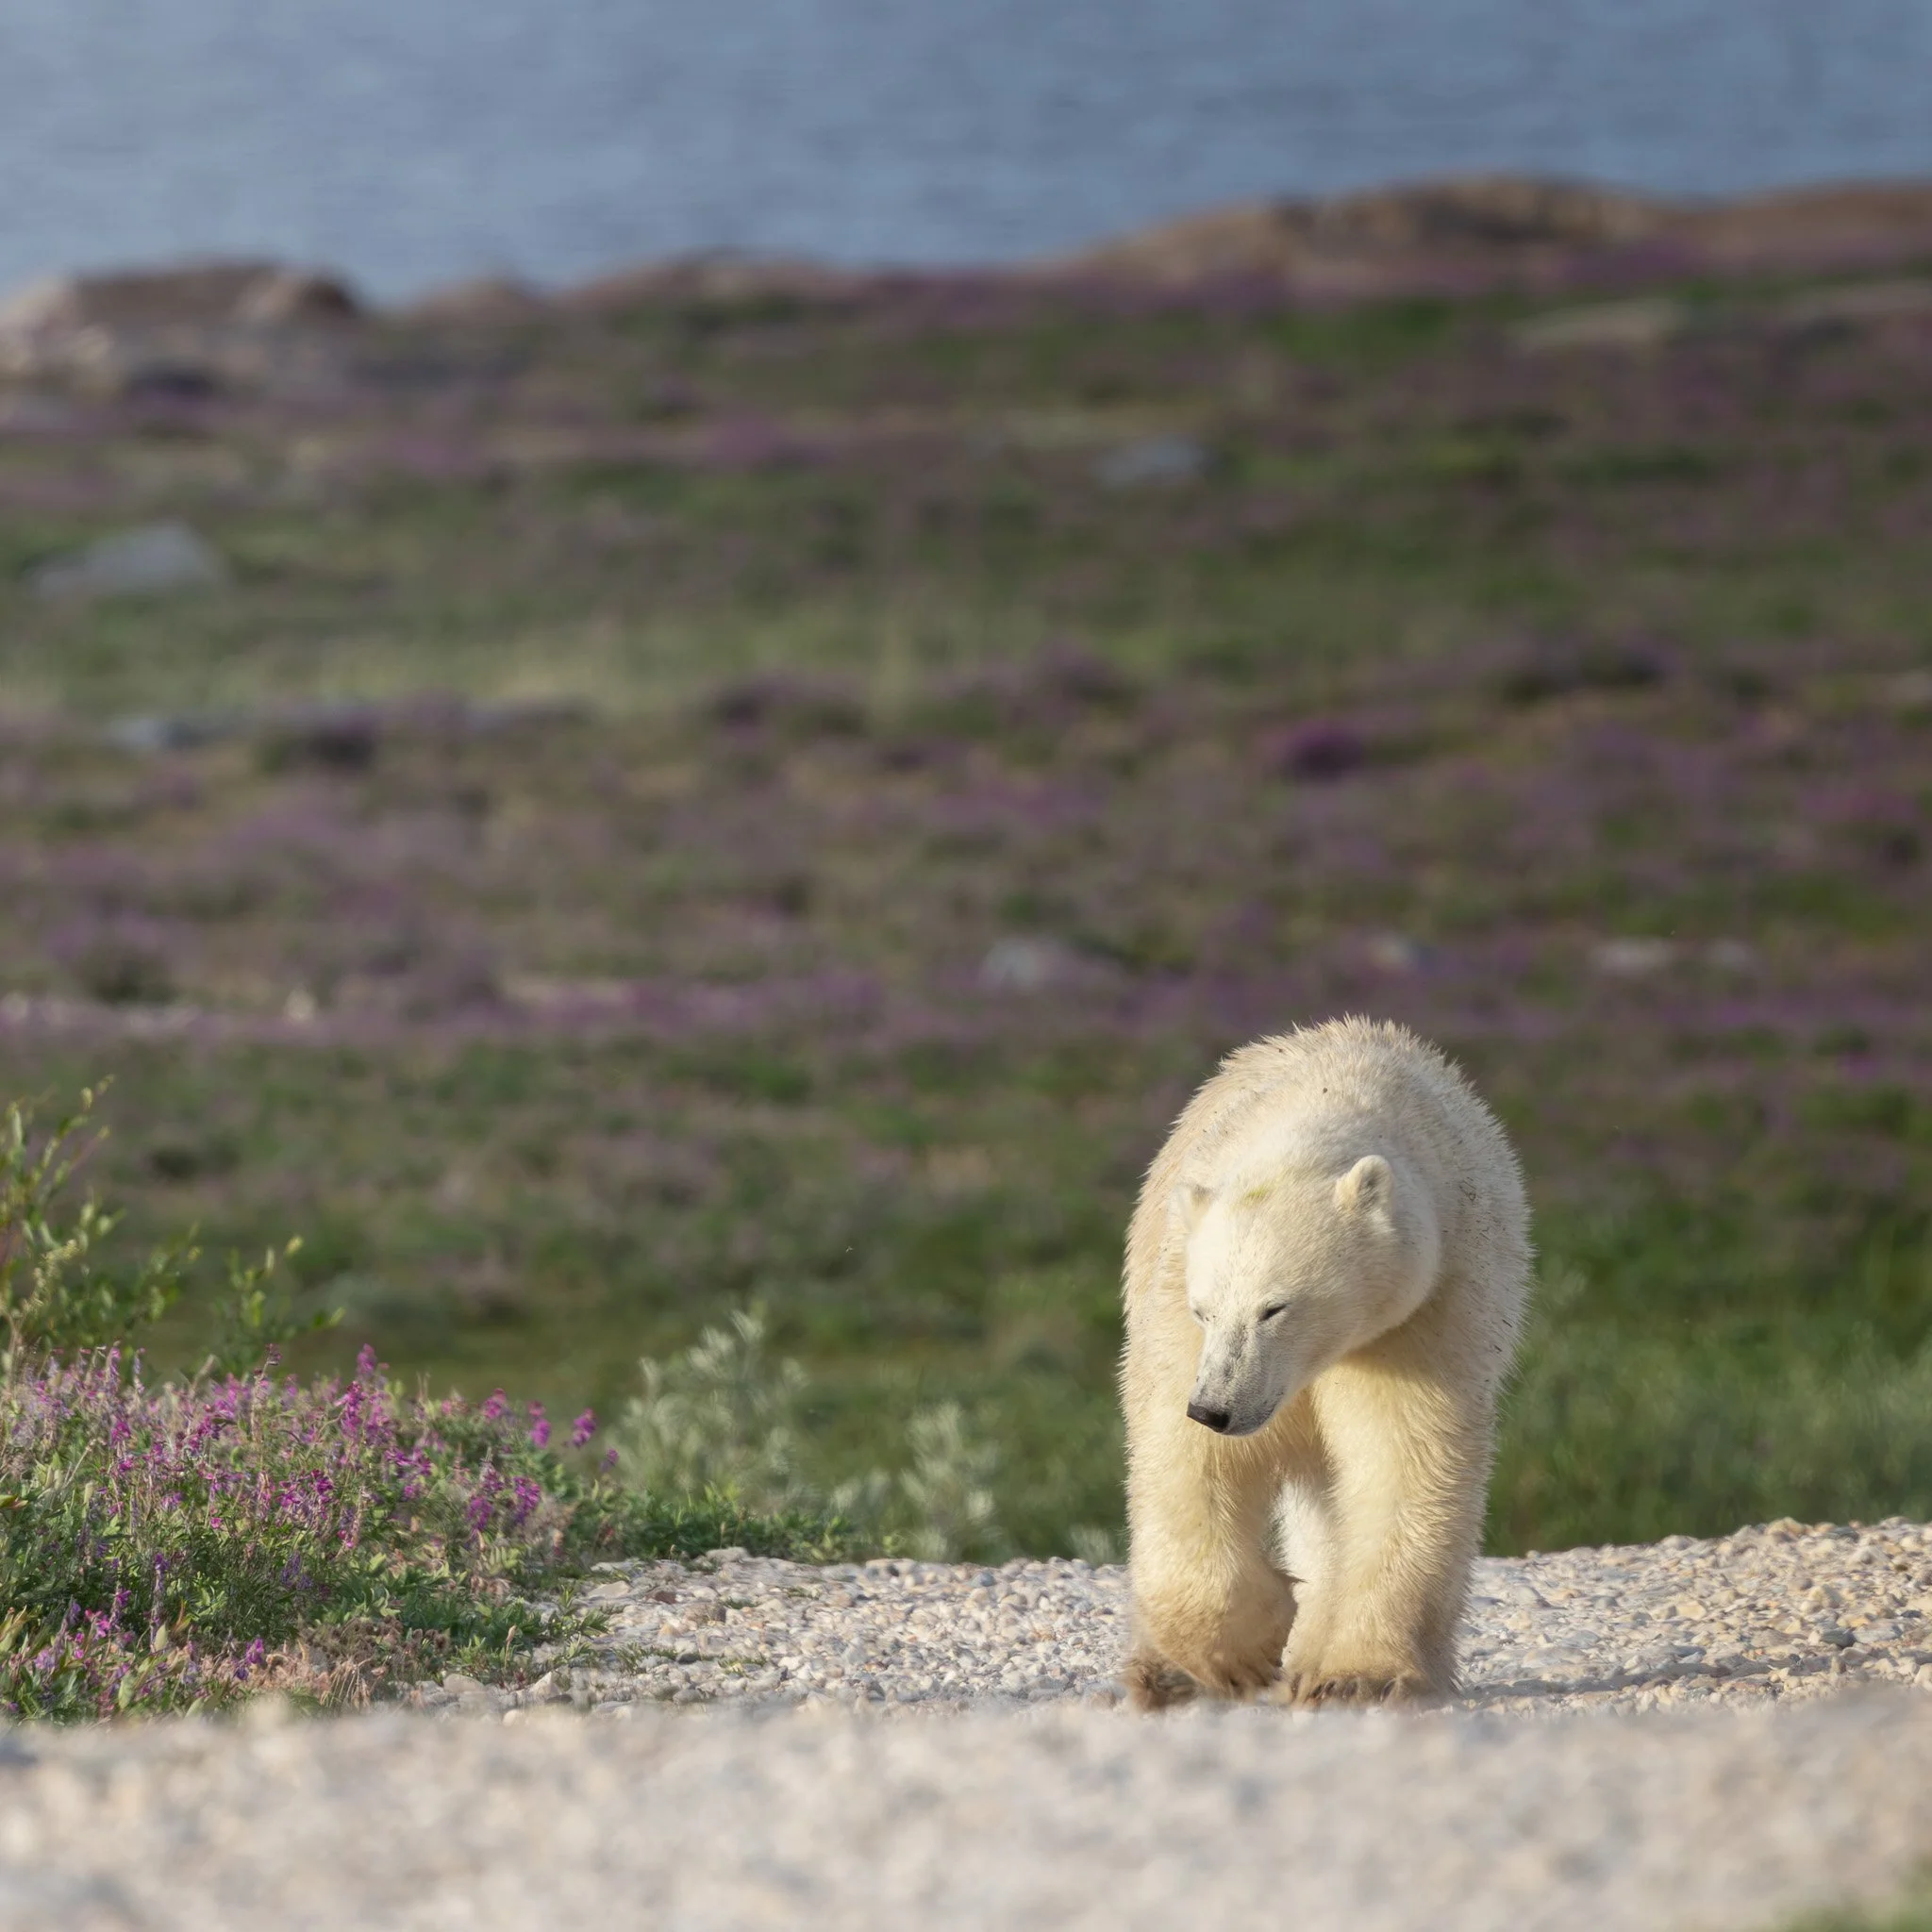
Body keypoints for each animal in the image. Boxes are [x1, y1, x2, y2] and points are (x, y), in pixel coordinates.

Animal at [1119, 1015, 1530, 1709]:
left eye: (1275, 1308)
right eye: (1206, 1310)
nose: (1216, 1409)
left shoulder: (1422, 1314)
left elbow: (1400, 1456)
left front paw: (1358, 1675)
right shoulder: (1175, 1302)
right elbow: (1187, 1461)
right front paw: (1234, 1656)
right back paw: (1161, 1676)